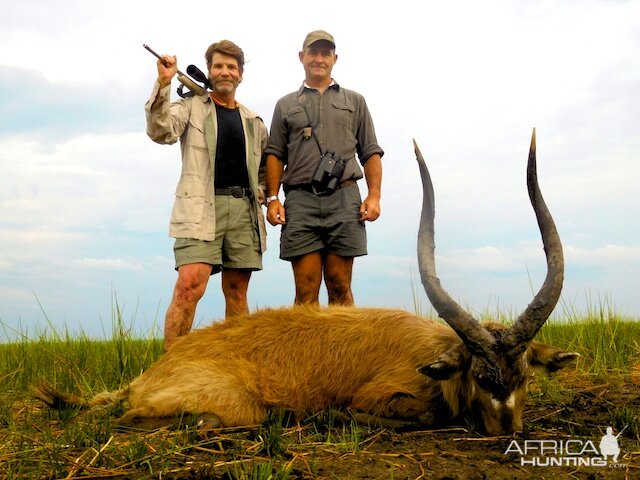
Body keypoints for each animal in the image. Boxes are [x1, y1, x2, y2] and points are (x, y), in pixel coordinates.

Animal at [32, 130, 576, 436]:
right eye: (481, 377)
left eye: (523, 376)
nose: (507, 431)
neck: (435, 349)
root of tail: (149, 375)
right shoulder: (380, 396)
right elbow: (416, 416)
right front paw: (330, 417)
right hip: (237, 408)